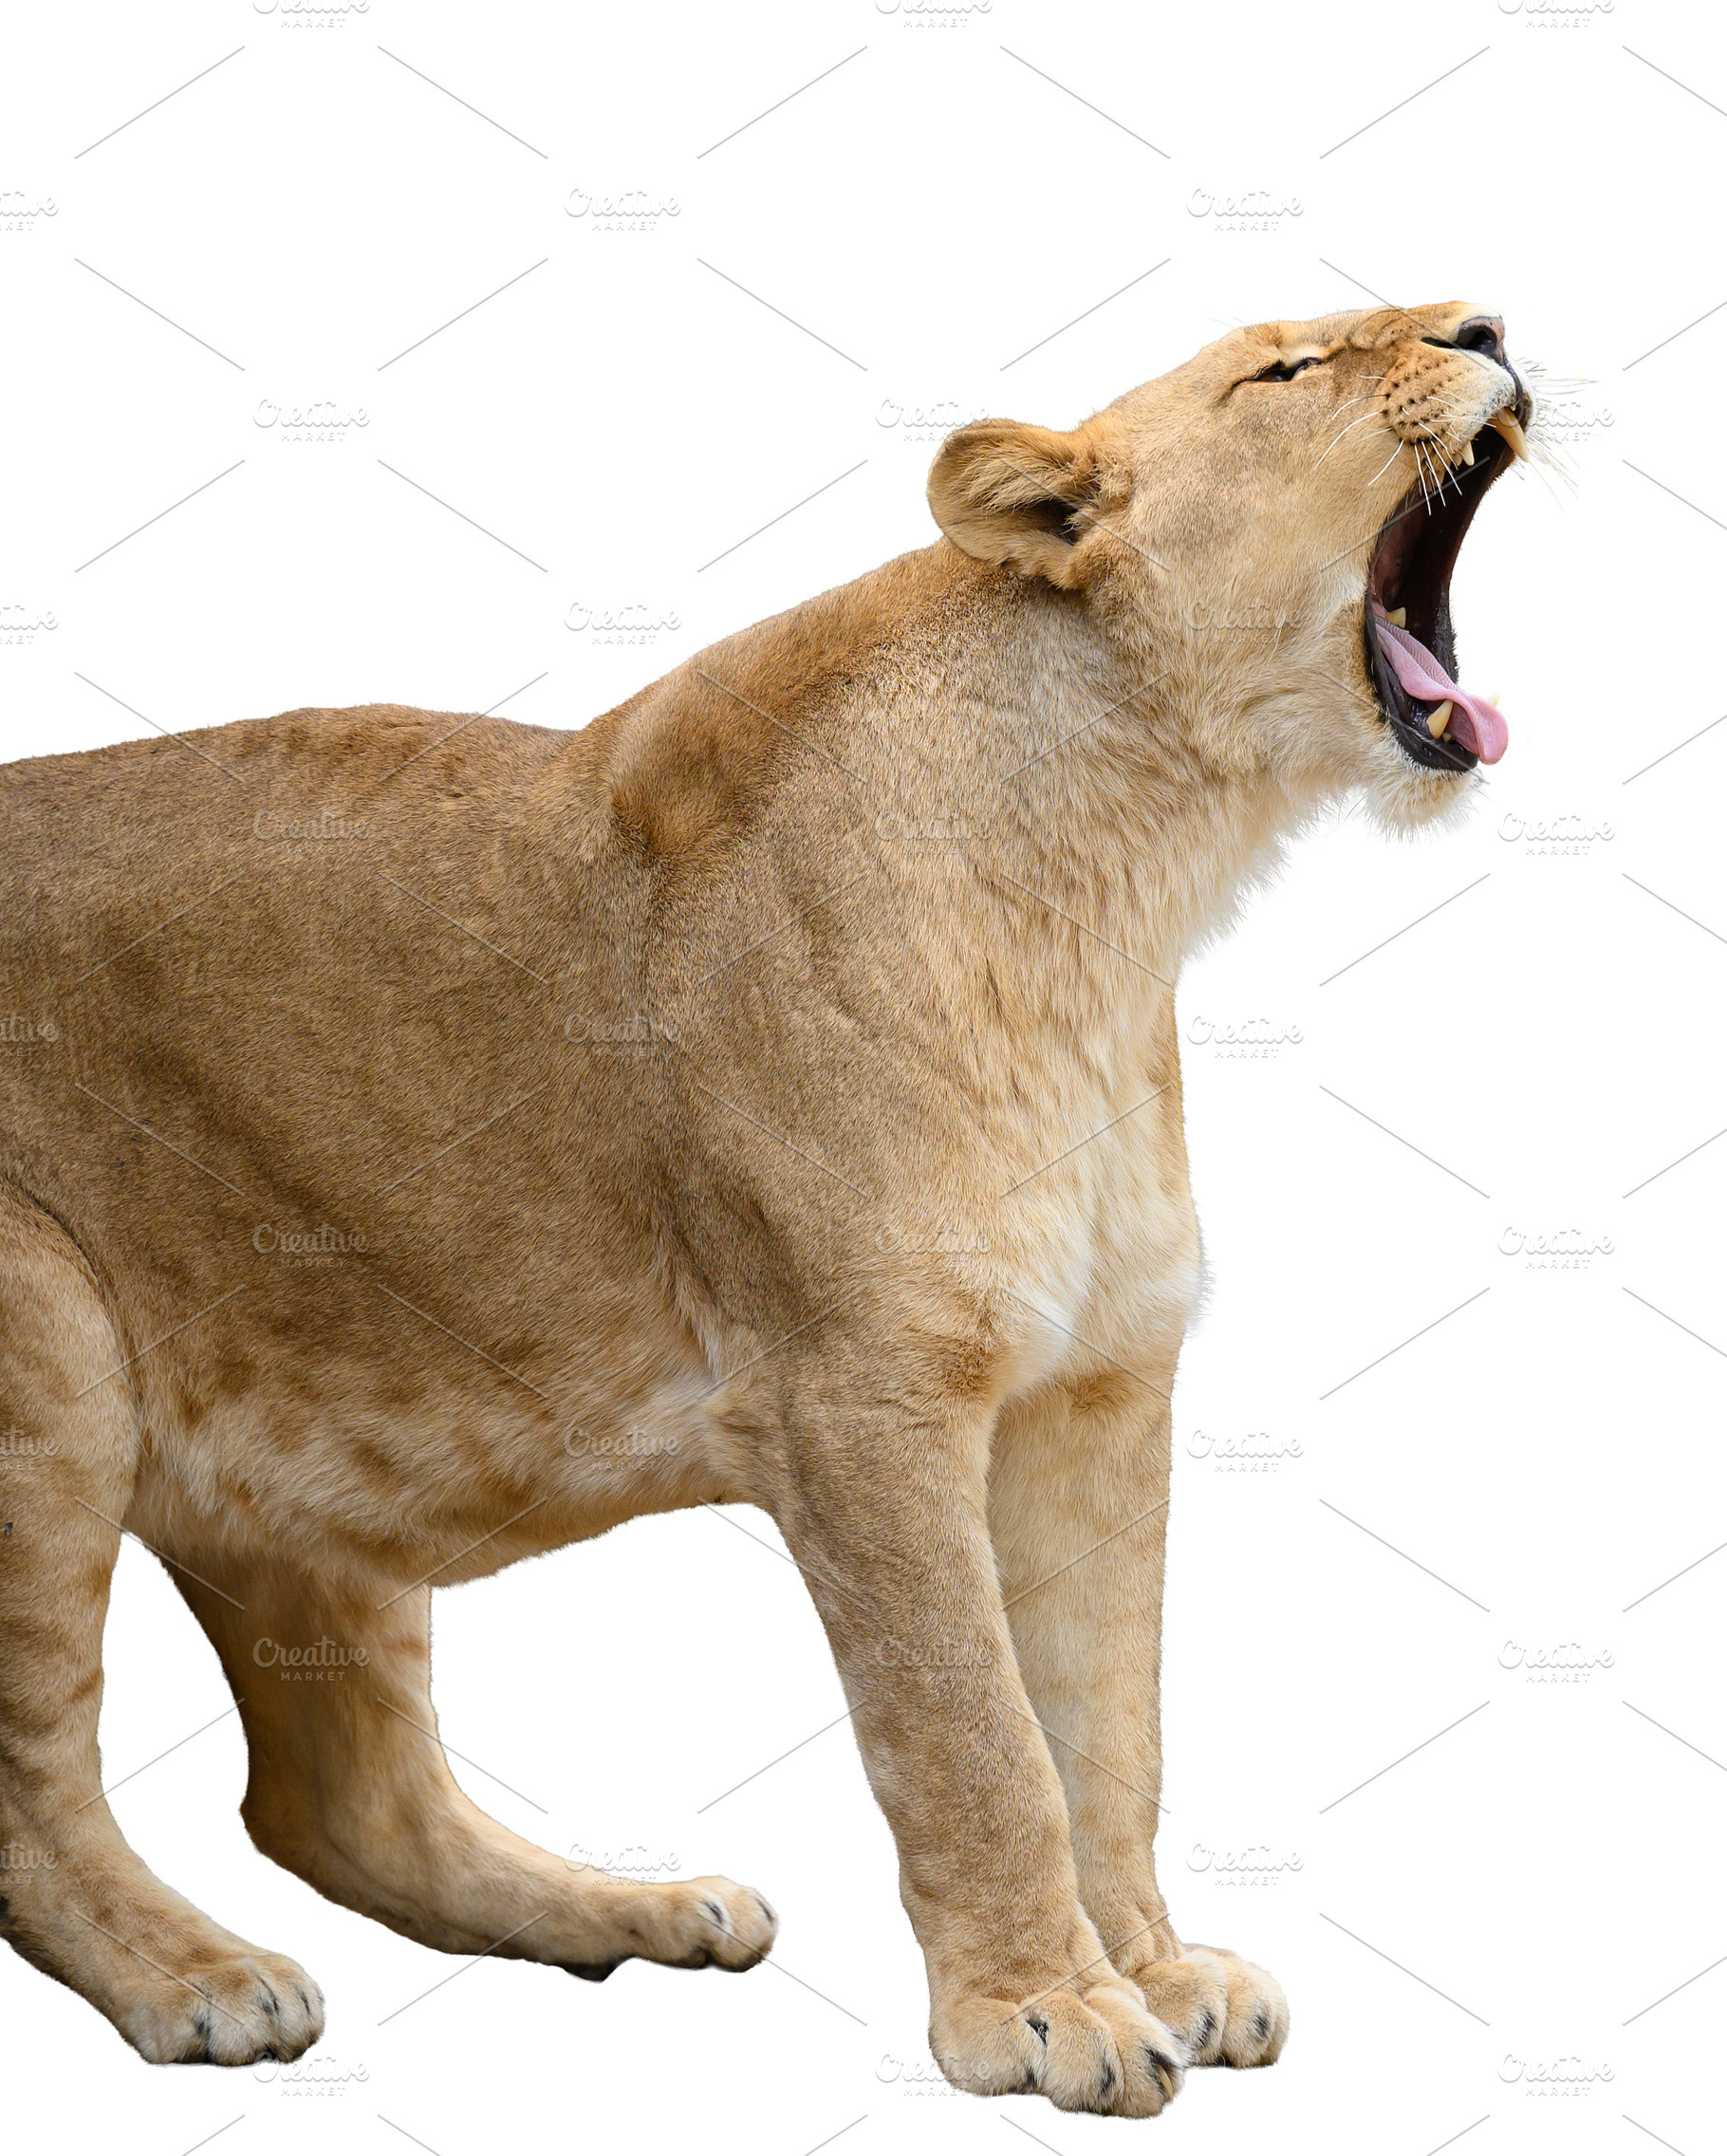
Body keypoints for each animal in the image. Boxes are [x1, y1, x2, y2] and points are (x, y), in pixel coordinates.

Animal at [0, 301, 1528, 2114]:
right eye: (1284, 374)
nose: (1493, 326)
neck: (1122, 880)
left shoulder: (1099, 1385)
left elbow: (1111, 1723)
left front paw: (1156, 1972)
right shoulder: (861, 1394)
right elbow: (979, 1731)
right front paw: (1046, 2010)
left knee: (341, 1805)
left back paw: (638, 1910)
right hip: (48, 1360)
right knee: (38, 1792)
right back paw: (201, 1978)